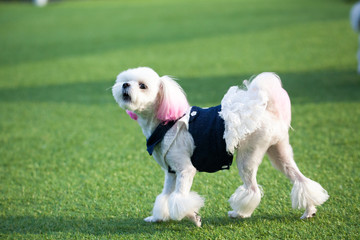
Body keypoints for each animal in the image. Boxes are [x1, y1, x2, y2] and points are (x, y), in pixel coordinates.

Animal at [112, 67, 330, 227]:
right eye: (125, 80)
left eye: (143, 86)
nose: (125, 85)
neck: (165, 122)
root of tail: (268, 109)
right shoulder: (170, 172)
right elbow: (165, 196)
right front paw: (157, 217)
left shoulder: (185, 170)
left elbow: (180, 198)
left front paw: (193, 216)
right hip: (279, 152)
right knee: (301, 180)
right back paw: (309, 211)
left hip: (248, 156)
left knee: (252, 189)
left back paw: (240, 213)